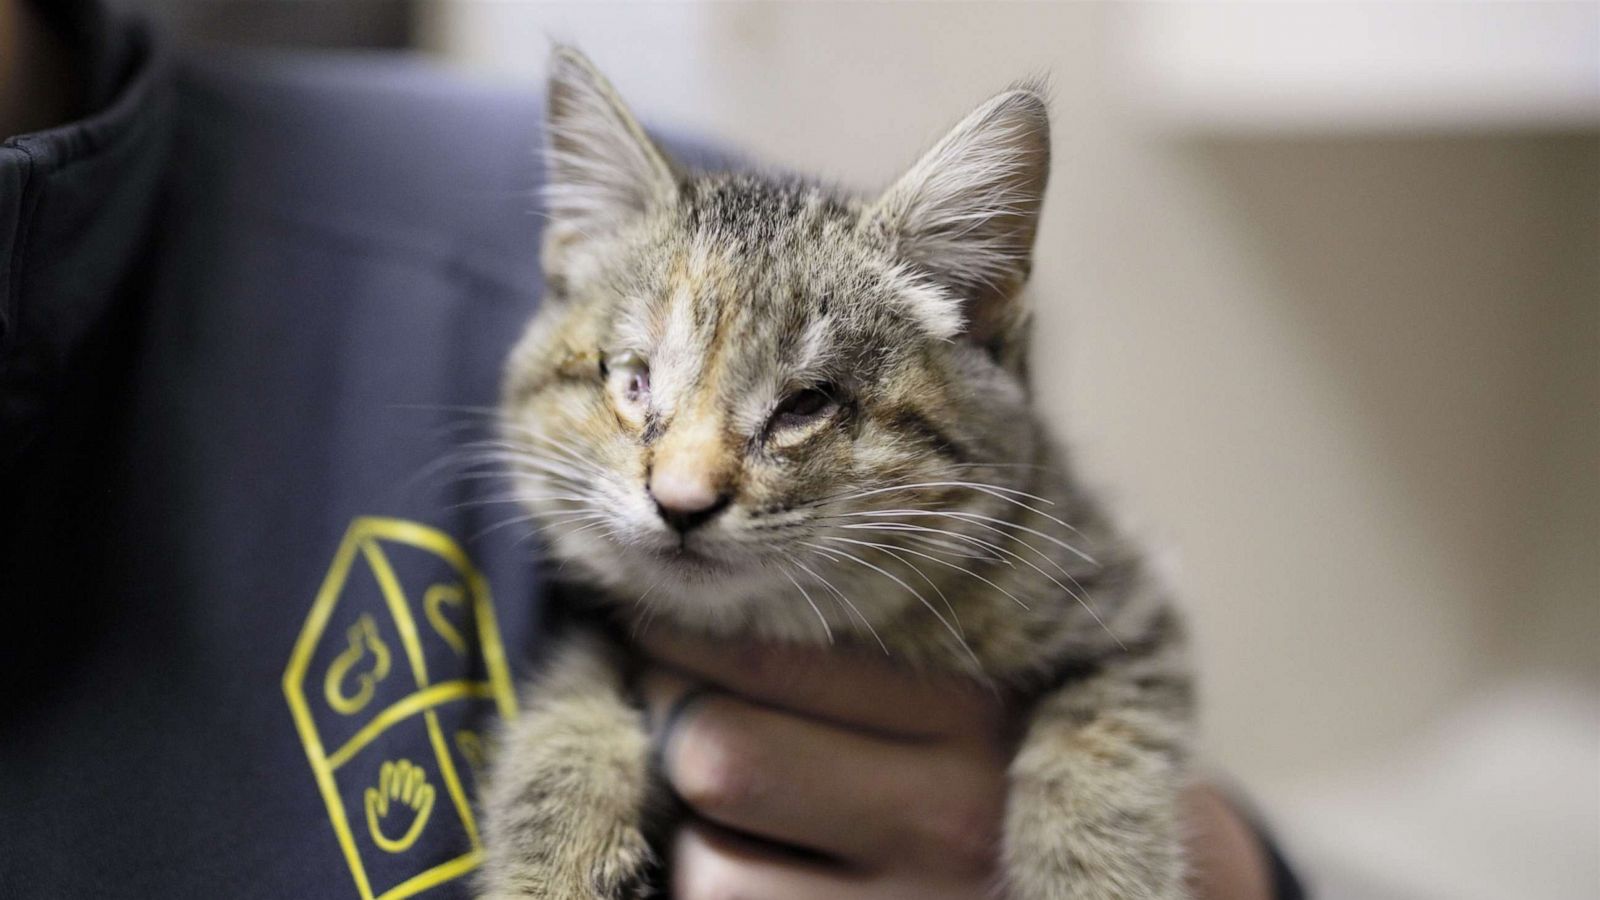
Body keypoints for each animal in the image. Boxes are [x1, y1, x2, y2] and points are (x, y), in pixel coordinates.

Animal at [480, 49, 1196, 896]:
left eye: (806, 404)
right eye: (633, 380)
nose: (681, 501)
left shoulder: (1124, 602)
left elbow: (1105, 739)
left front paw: (1092, 872)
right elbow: (570, 695)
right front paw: (555, 848)